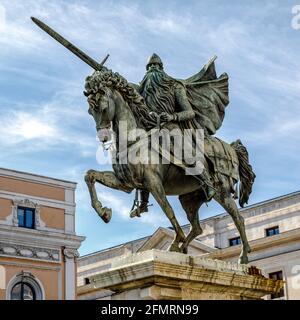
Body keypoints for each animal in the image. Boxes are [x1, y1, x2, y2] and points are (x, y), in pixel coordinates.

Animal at [84, 68, 255, 264]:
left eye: (102, 107)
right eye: (90, 110)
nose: (103, 138)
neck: (133, 139)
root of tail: (232, 148)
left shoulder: (153, 182)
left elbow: (167, 209)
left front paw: (177, 237)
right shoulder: (126, 183)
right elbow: (90, 175)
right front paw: (104, 212)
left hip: (222, 191)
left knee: (238, 218)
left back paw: (243, 257)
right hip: (189, 198)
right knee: (197, 227)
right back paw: (180, 248)